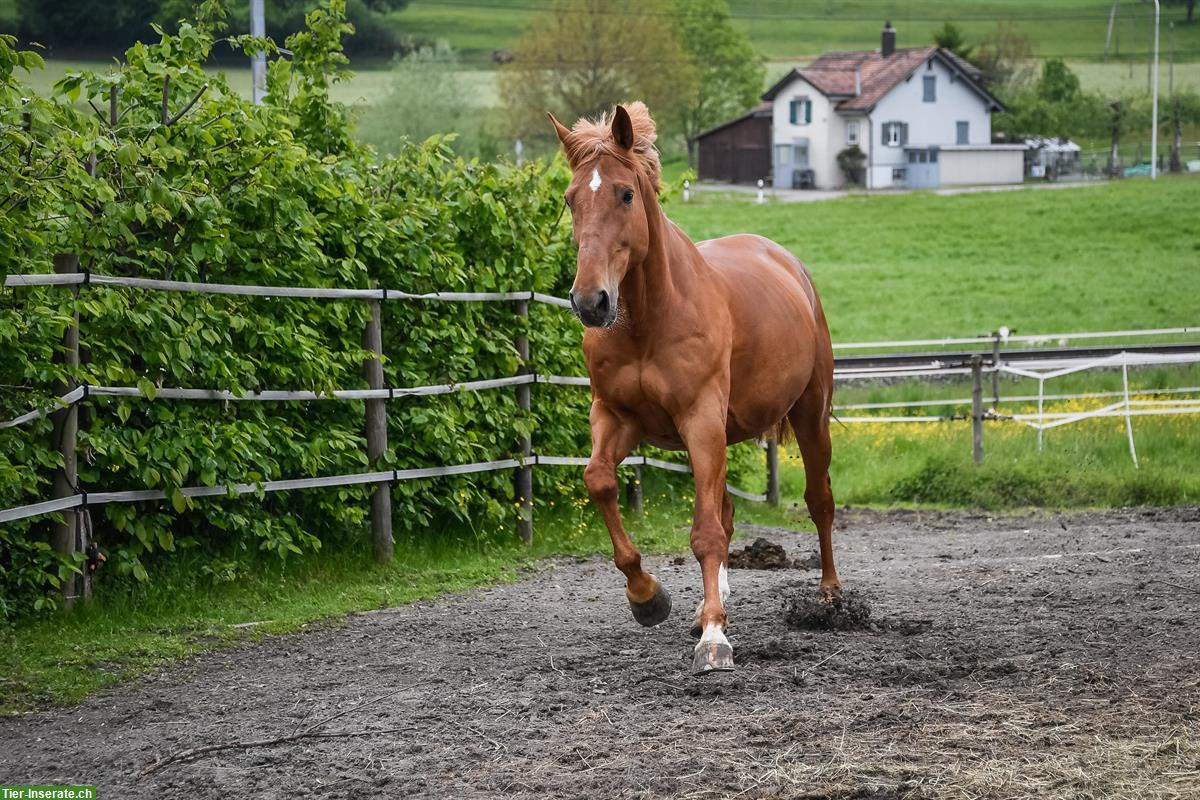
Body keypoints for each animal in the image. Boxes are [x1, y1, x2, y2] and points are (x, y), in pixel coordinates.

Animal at [549, 101, 840, 676]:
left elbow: (705, 532)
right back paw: (713, 602)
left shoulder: (700, 417)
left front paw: (713, 639)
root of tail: (789, 263)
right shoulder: (615, 417)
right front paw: (648, 598)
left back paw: (830, 595)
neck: (649, 319)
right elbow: (599, 481)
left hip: (808, 416)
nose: (591, 301)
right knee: (726, 514)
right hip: (720, 435)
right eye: (571, 199)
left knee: (819, 501)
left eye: (625, 194)